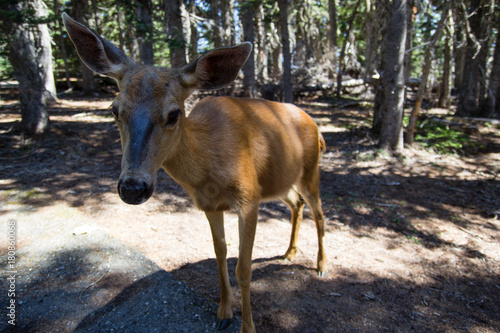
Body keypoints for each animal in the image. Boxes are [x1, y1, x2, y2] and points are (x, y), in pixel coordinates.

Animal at [62, 13, 326, 332]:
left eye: (174, 114)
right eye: (114, 109)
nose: (133, 187)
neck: (208, 172)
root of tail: (315, 125)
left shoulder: (249, 196)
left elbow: (244, 268)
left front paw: (247, 326)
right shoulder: (210, 205)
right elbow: (219, 254)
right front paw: (224, 312)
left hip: (310, 171)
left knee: (319, 214)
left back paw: (321, 266)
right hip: (280, 182)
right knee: (296, 204)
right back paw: (289, 252)